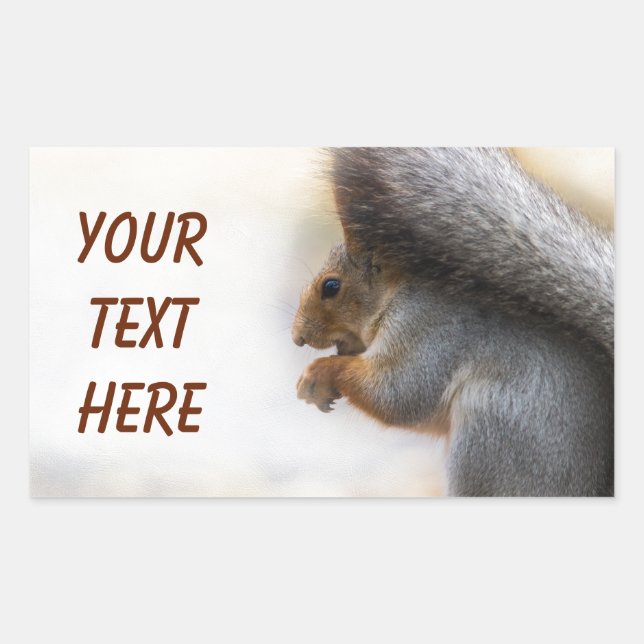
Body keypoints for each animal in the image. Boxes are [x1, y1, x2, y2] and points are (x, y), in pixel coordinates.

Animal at [291, 148, 613, 497]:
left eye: (331, 287)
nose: (297, 337)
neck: (397, 293)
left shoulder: (428, 330)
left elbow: (400, 394)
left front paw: (320, 371)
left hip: (489, 441)